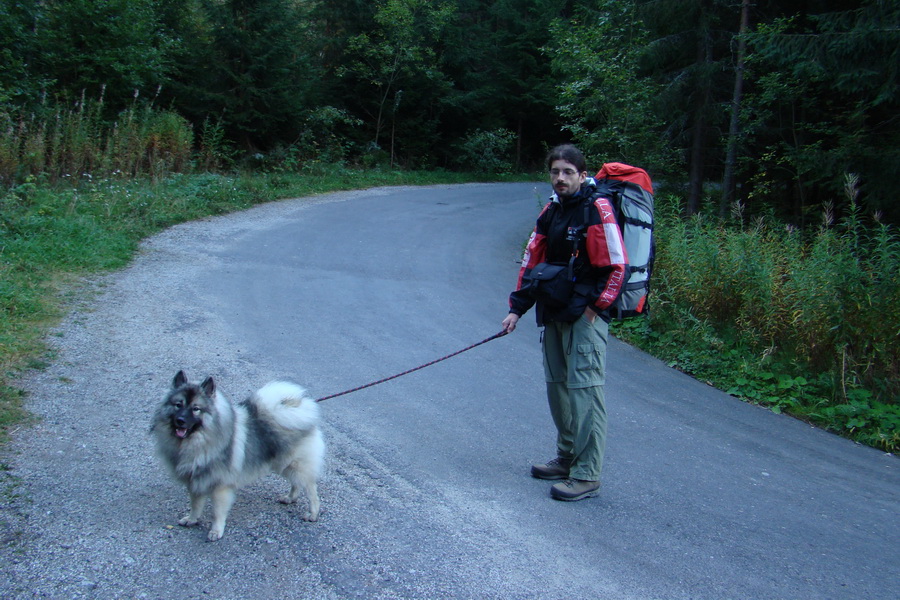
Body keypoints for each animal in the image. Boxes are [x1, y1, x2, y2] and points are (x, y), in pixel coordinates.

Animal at [150, 368, 324, 540]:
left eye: (196, 409)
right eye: (178, 405)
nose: (180, 420)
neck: (198, 442)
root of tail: (299, 411)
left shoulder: (220, 486)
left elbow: (217, 512)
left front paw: (216, 531)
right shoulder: (196, 481)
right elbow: (196, 505)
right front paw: (192, 519)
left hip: (296, 465)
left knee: (311, 490)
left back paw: (312, 514)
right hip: (284, 464)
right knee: (296, 483)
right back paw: (290, 498)